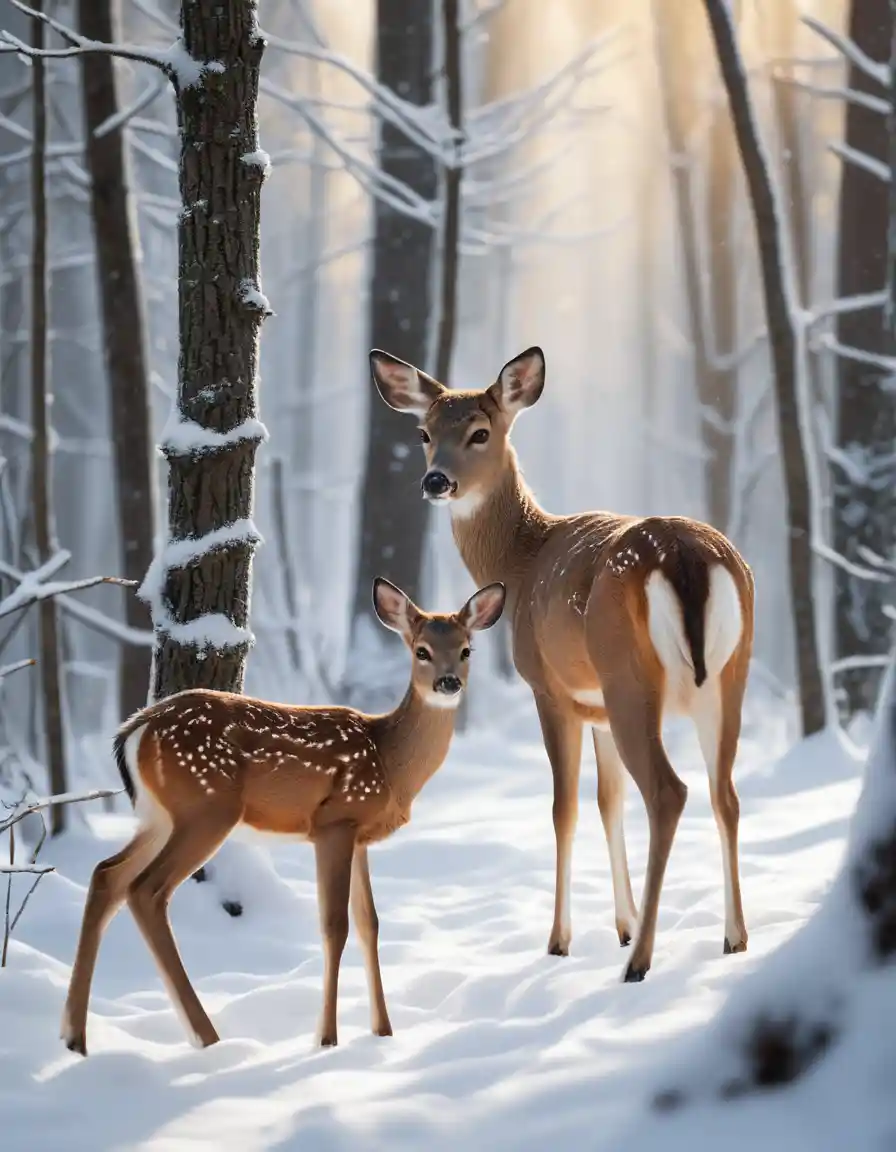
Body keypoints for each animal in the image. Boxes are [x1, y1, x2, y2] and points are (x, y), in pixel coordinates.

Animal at [60, 576, 506, 1056]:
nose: (448, 682)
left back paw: (74, 1036)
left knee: (107, 874)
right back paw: (206, 1037)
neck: (389, 760)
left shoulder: (360, 836)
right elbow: (334, 925)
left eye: (466, 650)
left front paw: (383, 1031)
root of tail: (133, 730)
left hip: (159, 816)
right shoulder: (334, 821)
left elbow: (369, 923)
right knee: (146, 890)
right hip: (206, 807)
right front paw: (326, 1038)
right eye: (421, 650)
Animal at [370, 345, 755, 984]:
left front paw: (561, 940)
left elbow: (563, 808)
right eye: (424, 433)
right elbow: (607, 801)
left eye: (480, 432)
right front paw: (621, 924)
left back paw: (641, 962)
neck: (521, 561)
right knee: (724, 793)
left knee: (669, 791)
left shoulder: (549, 690)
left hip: (630, 677)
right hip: (729, 675)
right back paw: (733, 938)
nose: (436, 480)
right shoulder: (593, 707)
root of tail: (684, 555)